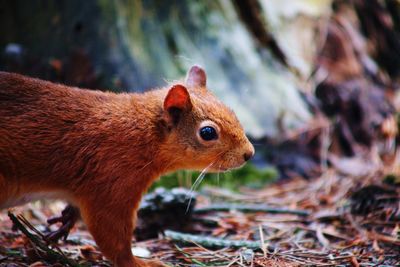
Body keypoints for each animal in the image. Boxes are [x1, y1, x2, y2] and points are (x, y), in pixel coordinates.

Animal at [0, 65, 255, 267]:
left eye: (232, 111)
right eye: (208, 132)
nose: (249, 153)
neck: (141, 132)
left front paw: (66, 220)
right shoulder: (111, 183)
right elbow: (114, 238)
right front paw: (140, 263)